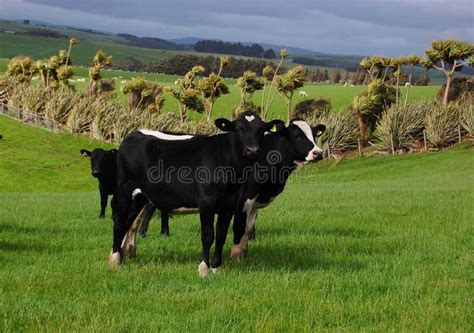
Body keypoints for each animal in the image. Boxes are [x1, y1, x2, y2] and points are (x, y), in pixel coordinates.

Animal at [111, 111, 282, 274]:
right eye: (239, 129)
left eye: (261, 130)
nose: (253, 150)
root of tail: (133, 134)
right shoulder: (206, 201)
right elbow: (208, 235)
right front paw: (204, 268)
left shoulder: (229, 204)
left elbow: (221, 235)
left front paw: (216, 267)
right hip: (125, 190)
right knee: (119, 221)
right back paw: (114, 260)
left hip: (140, 196)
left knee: (128, 221)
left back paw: (120, 256)